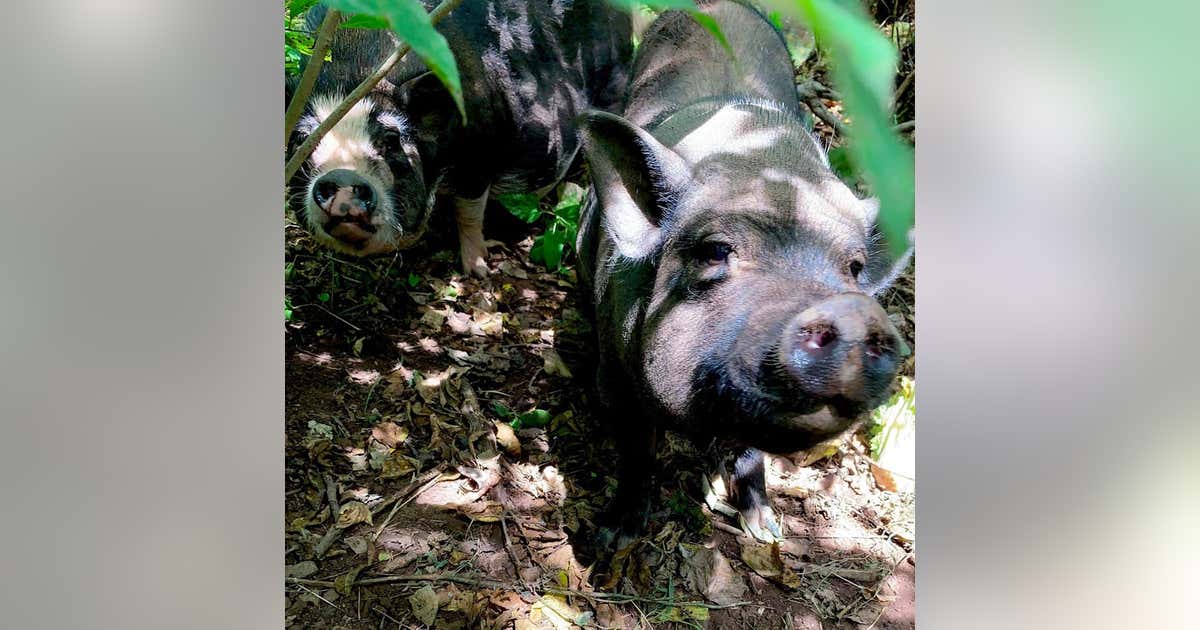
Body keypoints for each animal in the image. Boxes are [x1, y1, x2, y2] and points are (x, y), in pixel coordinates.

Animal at [286, 0, 631, 276]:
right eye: (303, 139)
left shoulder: (480, 152)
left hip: (615, 81)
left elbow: (469, 211)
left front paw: (478, 271)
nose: (343, 176)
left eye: (391, 139)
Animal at [575, 0, 912, 544]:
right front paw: (613, 538)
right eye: (716, 250)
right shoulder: (615, 375)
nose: (853, 311)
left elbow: (753, 452)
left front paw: (767, 531)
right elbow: (637, 449)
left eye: (855, 267)